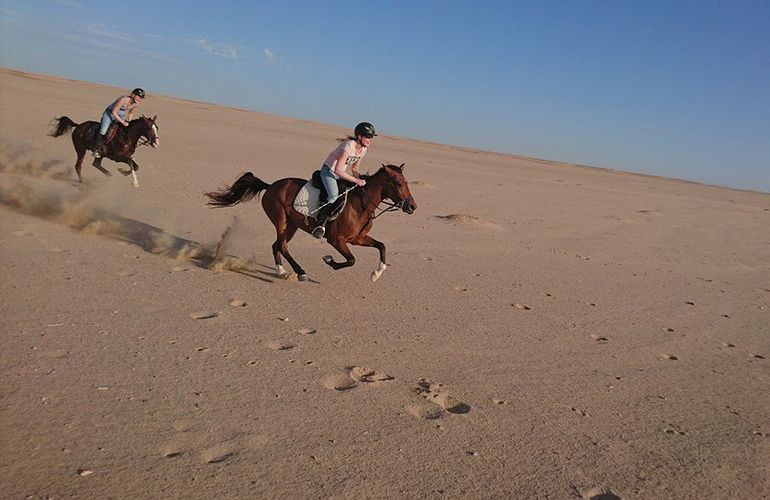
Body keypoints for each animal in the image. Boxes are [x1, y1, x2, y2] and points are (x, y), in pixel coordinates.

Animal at [204, 164, 416, 282]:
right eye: (398, 183)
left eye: (406, 182)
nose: (412, 206)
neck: (361, 204)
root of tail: (270, 186)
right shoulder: (336, 240)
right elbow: (351, 260)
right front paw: (330, 261)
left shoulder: (358, 238)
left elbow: (381, 246)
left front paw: (376, 273)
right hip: (281, 220)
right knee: (282, 246)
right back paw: (300, 272)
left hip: (291, 225)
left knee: (277, 245)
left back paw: (281, 271)